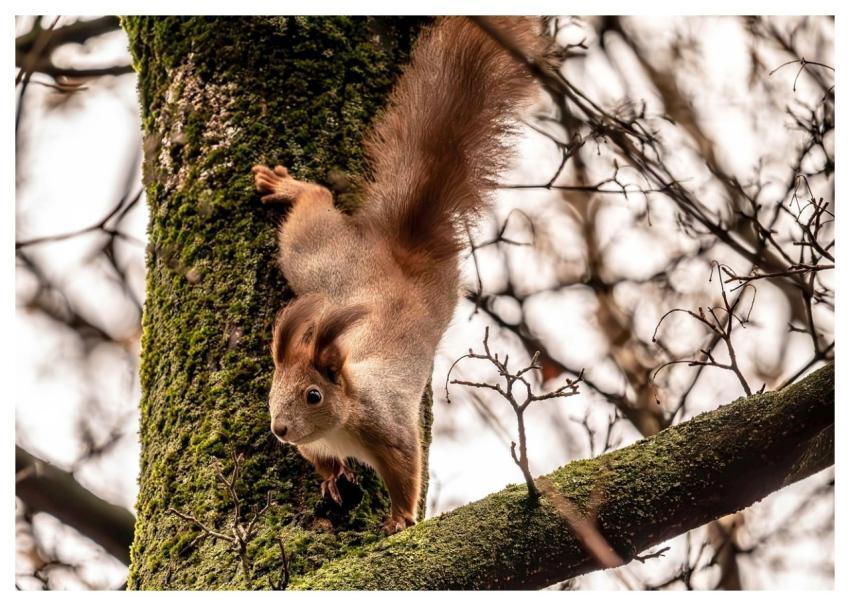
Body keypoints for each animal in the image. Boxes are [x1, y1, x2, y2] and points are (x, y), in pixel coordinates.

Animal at [252, 17, 543, 534]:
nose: (279, 430)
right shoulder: (312, 444)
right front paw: (334, 478)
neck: (342, 416)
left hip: (314, 255)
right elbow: (321, 461)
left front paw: (401, 518)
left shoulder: (388, 427)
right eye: (273, 389)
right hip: (318, 265)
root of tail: (400, 249)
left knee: (316, 201)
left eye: (312, 395)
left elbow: (408, 469)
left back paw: (293, 187)